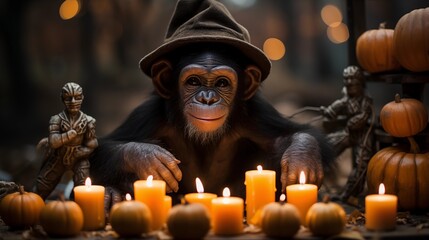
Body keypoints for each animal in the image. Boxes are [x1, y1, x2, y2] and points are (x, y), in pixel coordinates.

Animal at [88, 0, 332, 207]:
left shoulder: (258, 114)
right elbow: (100, 148)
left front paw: (302, 156)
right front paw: (145, 157)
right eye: (193, 81)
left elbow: (289, 134)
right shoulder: (148, 115)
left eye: (222, 83)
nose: (207, 98)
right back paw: (112, 195)